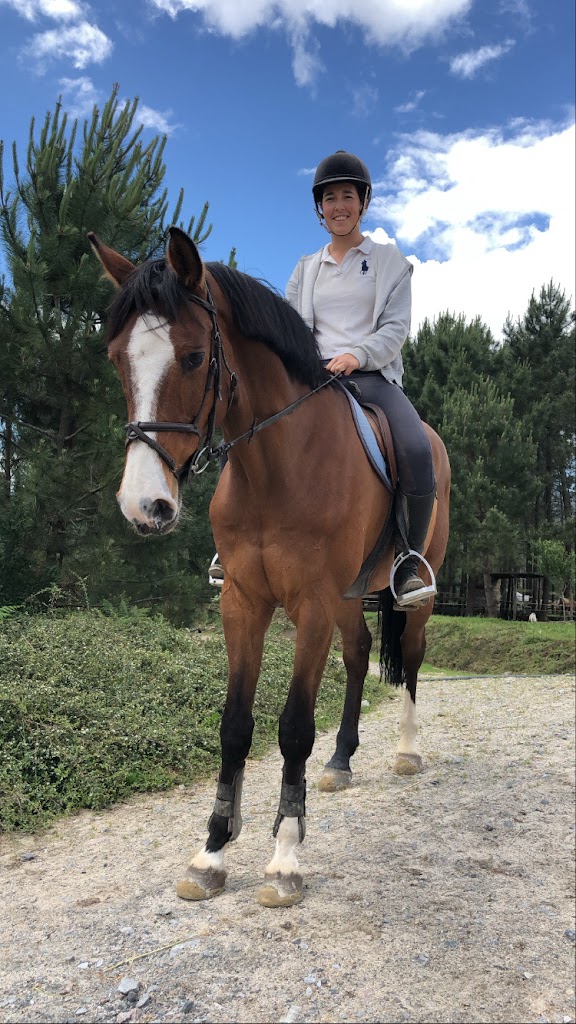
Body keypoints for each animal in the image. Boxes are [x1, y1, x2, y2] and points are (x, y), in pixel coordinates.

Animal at [89, 226, 450, 908]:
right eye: (117, 359)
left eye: (194, 358)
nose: (143, 506)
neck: (277, 465)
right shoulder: (244, 602)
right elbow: (234, 726)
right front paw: (210, 853)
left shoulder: (310, 603)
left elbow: (292, 728)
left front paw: (284, 859)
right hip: (348, 596)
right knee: (359, 655)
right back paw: (340, 762)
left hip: (411, 590)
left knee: (411, 657)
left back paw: (408, 753)